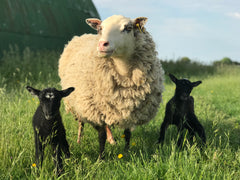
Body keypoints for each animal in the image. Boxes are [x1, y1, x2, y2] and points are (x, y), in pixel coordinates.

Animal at [58, 14, 164, 158]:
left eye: (128, 28)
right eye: (100, 29)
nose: (102, 44)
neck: (123, 72)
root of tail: (81, 36)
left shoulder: (130, 109)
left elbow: (127, 133)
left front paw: (126, 152)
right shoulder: (94, 110)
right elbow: (101, 136)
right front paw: (101, 158)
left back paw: (112, 140)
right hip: (77, 103)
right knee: (81, 123)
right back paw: (80, 140)